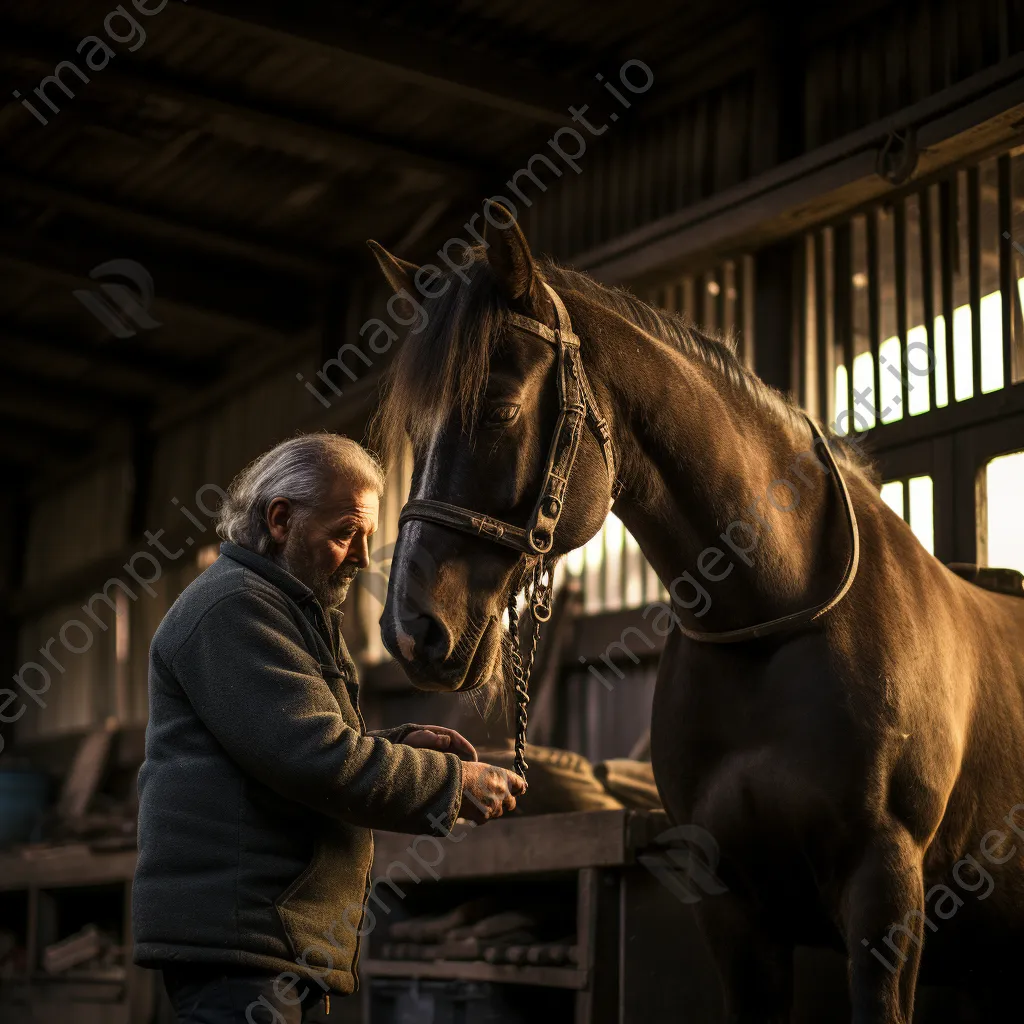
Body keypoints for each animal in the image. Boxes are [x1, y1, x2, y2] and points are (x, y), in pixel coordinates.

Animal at [372, 203, 1024, 1019]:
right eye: (414, 434)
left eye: (499, 409)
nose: (410, 631)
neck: (774, 622)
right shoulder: (728, 904)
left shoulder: (885, 891)